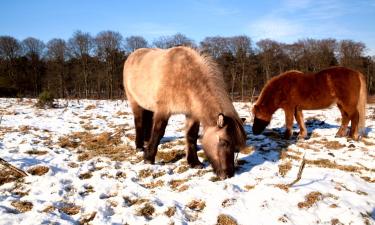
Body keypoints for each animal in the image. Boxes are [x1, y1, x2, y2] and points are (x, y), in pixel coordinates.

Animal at [123, 46, 247, 179]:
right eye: (224, 142)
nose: (228, 175)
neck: (185, 77)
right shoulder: (163, 110)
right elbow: (158, 132)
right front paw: (148, 158)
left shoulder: (192, 114)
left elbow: (191, 136)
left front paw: (194, 162)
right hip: (134, 102)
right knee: (139, 123)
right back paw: (139, 146)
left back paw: (146, 141)